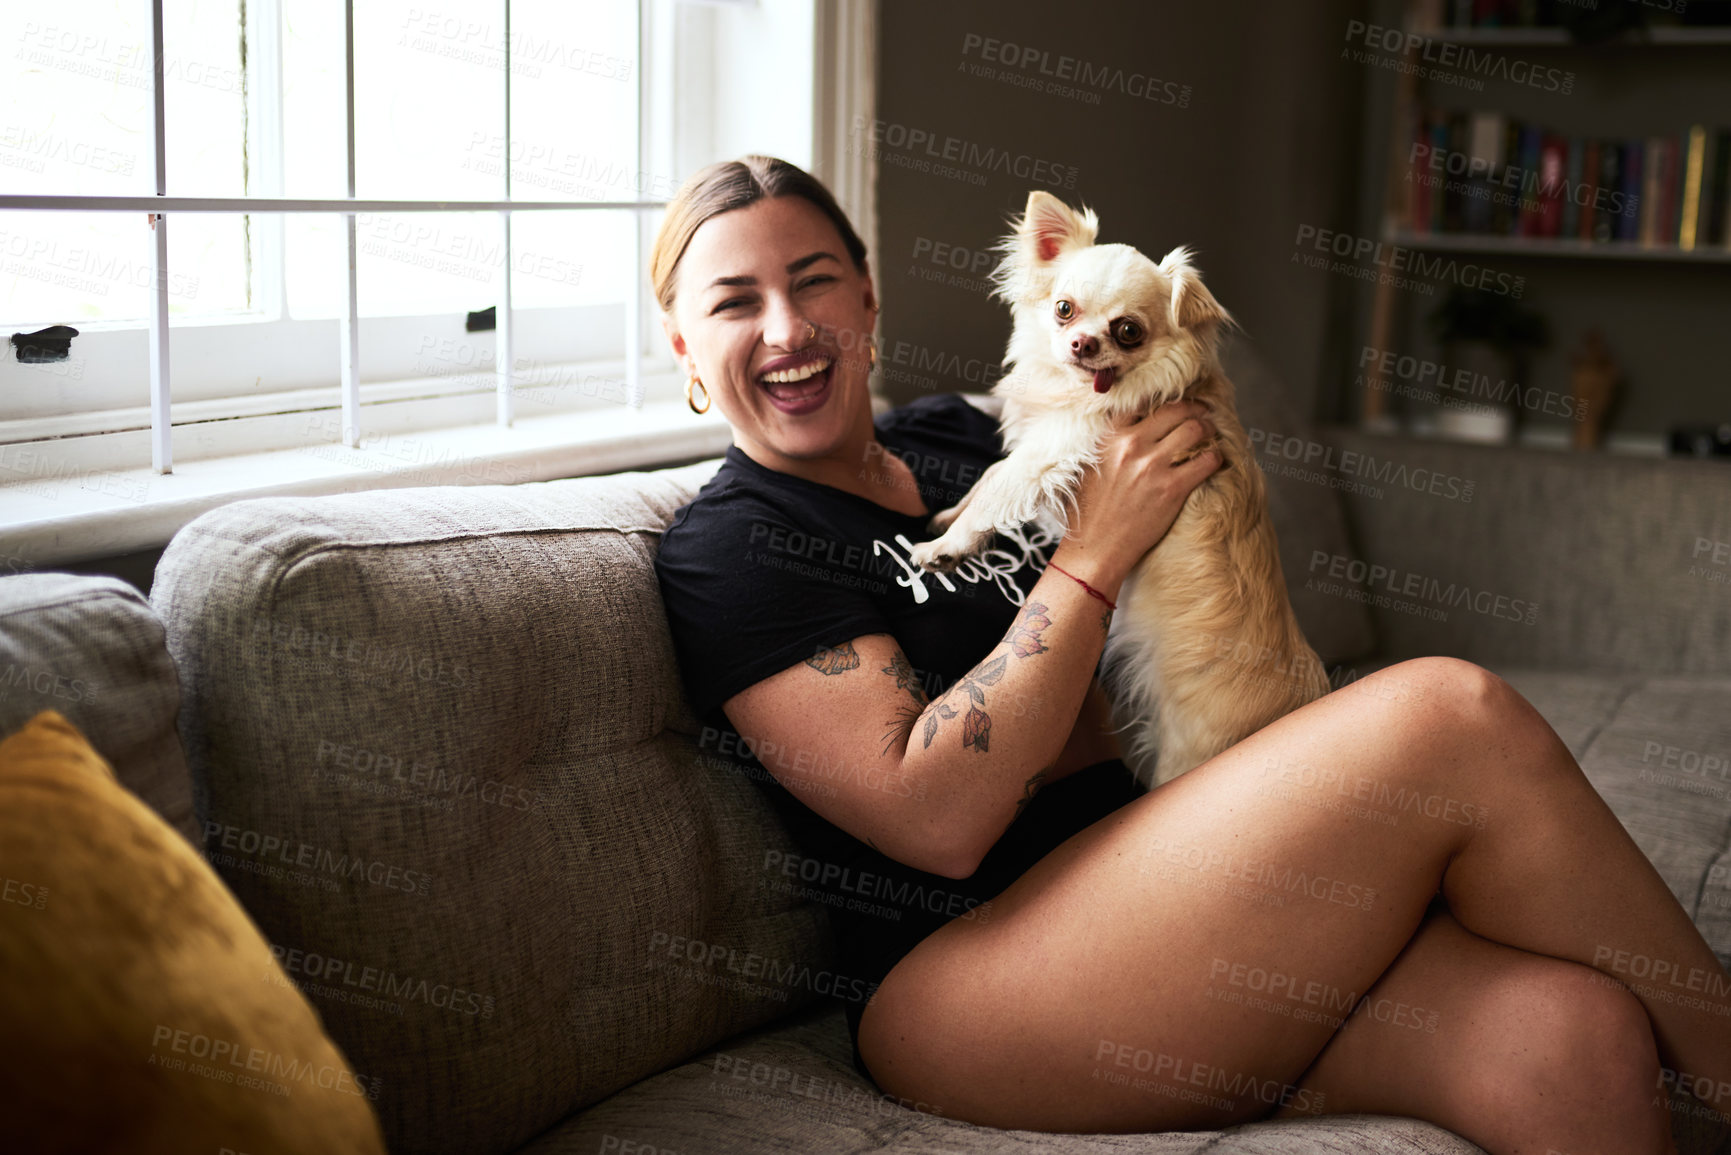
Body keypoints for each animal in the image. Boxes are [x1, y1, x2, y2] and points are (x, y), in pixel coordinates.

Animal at [907, 193, 1322, 789]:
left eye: (1128, 331)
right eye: (1063, 309)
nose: (1083, 342)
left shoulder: (1056, 447)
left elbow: (998, 484)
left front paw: (946, 546)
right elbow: (987, 478)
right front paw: (948, 518)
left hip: (1185, 758)